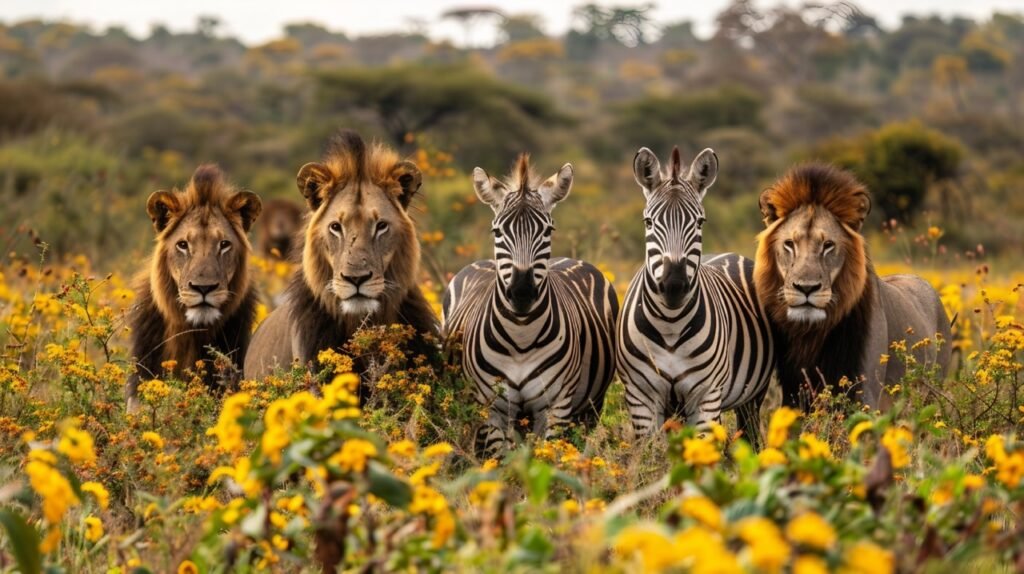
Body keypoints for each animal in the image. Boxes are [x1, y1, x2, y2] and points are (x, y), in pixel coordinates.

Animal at [442, 154, 614, 454]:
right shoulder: (489, 407)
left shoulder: (556, 406)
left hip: (590, 408)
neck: (521, 336)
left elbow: (547, 458)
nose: (522, 293)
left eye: (548, 230)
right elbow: (501, 460)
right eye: (497, 231)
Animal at [614, 145, 774, 446]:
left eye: (700, 222)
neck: (670, 326)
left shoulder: (705, 398)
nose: (674, 285)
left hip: (752, 393)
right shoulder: (641, 398)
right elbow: (652, 456)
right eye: (648, 221)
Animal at [753, 163, 950, 409]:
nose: (806, 288)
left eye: (828, 245)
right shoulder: (793, 390)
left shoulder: (866, 391)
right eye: (789, 244)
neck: (812, 334)